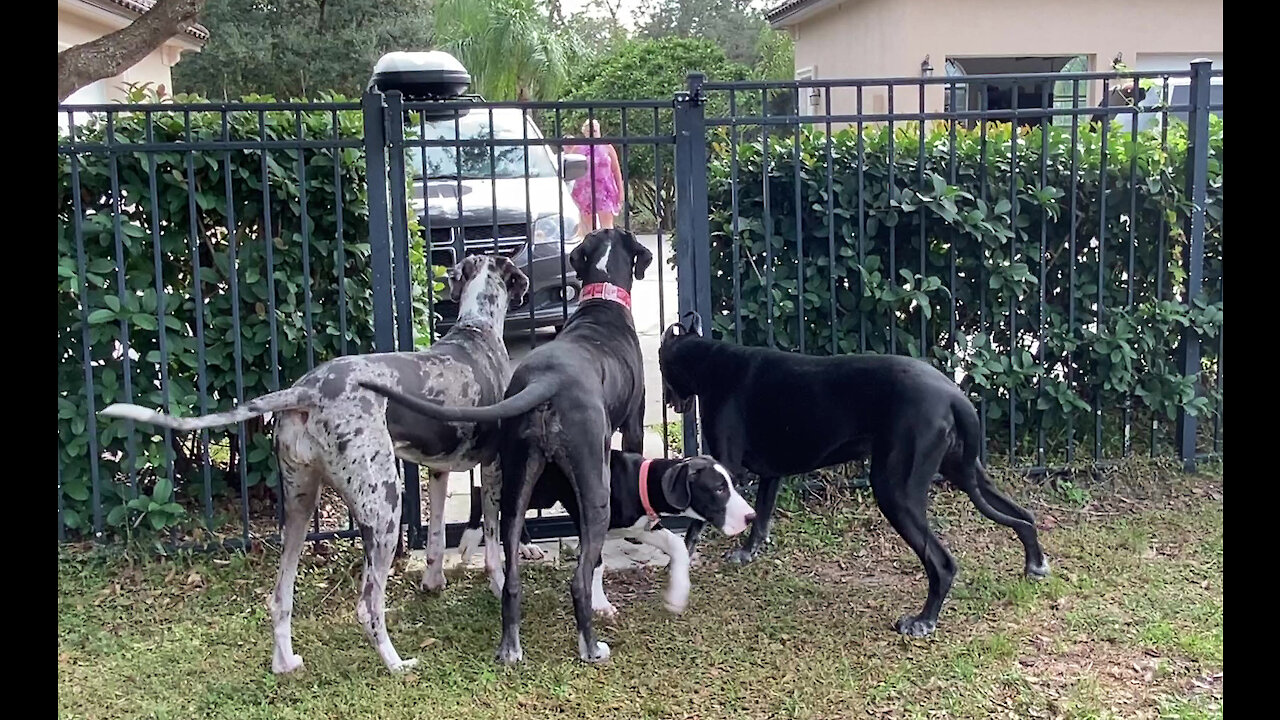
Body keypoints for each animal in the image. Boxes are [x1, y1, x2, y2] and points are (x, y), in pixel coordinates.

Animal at [93, 253, 524, 671]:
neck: (476, 328)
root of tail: (306, 391)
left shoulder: (437, 467)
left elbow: (435, 536)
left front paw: (433, 583)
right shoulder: (493, 467)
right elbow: (491, 543)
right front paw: (496, 584)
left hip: (301, 505)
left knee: (279, 597)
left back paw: (285, 663)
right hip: (385, 507)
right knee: (368, 605)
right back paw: (396, 664)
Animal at [366, 226, 655, 666]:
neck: (601, 300)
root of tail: (549, 381)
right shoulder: (632, 430)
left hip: (517, 479)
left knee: (511, 575)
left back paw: (510, 645)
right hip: (593, 485)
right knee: (580, 576)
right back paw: (592, 643)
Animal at [660, 312, 1049, 632]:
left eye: (662, 367)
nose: (667, 400)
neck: (709, 360)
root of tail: (954, 395)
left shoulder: (721, 469)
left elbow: (695, 522)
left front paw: (682, 559)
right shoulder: (771, 474)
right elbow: (762, 515)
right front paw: (747, 552)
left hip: (895, 490)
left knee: (942, 563)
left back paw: (923, 621)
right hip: (966, 472)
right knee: (1024, 516)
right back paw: (1035, 564)